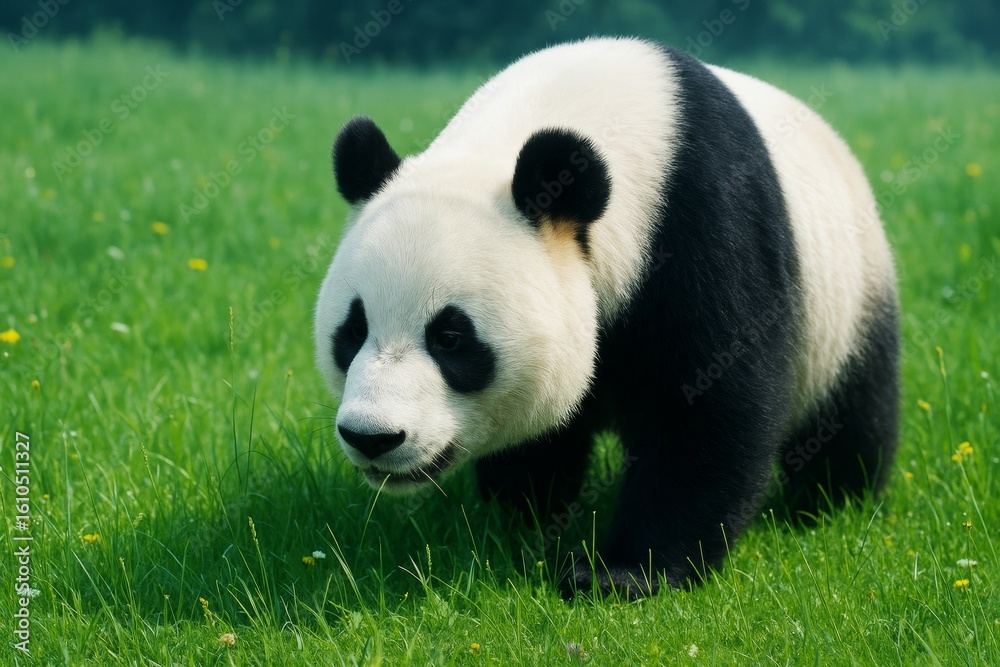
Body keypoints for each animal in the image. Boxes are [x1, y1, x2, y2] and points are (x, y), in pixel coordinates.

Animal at [314, 37, 899, 598]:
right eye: (354, 331)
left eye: (451, 338)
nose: (372, 437)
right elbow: (544, 431)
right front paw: (522, 515)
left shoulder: (703, 227)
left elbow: (707, 409)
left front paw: (620, 574)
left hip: (848, 296)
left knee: (852, 413)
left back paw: (831, 503)